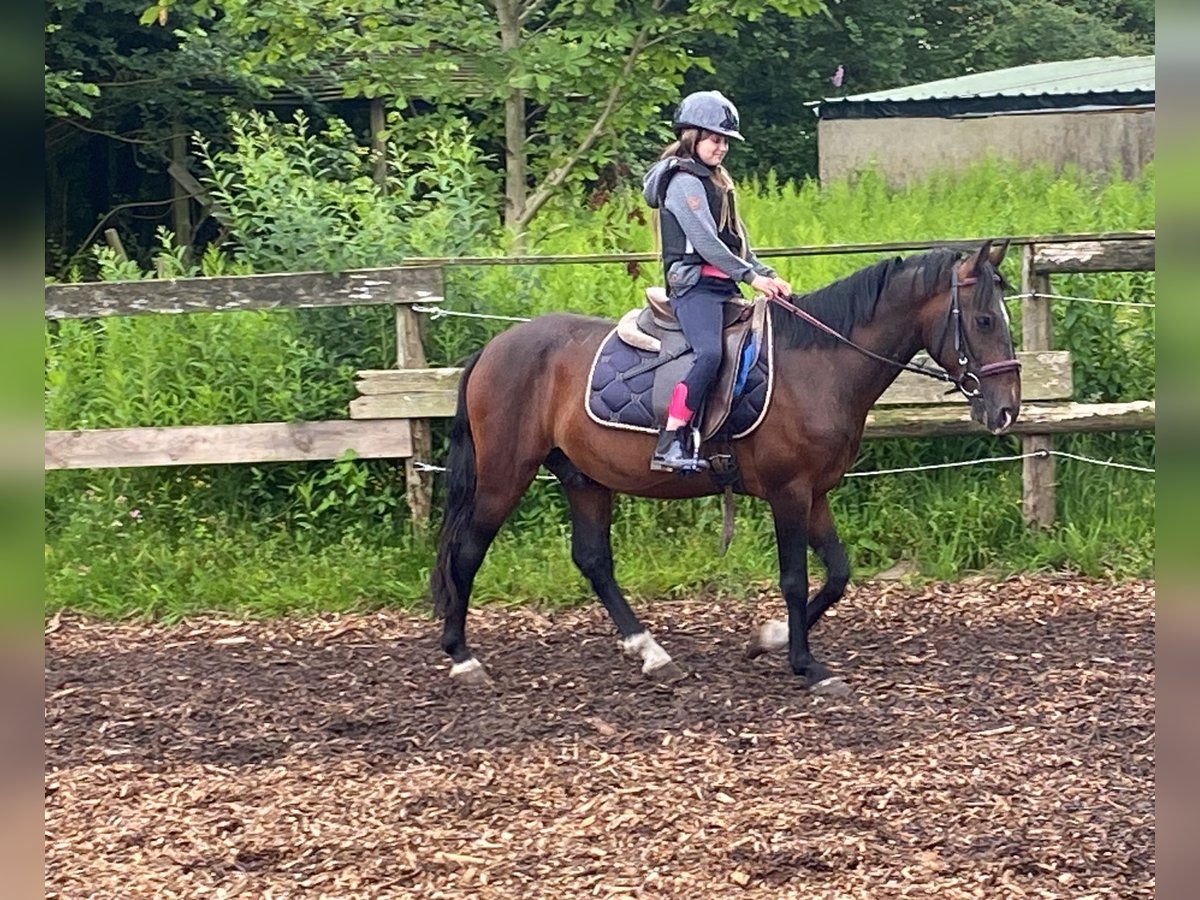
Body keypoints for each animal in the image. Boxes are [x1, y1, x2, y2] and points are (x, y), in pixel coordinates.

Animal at [427, 241, 1017, 696]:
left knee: (593, 560)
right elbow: (796, 579)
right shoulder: (789, 492)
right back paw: (463, 657)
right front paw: (807, 665)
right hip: (505, 475)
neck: (819, 362)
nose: (1006, 409)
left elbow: (838, 574)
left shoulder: (817, 493)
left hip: (582, 476)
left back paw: (651, 652)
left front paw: (769, 639)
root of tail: (494, 348)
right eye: (984, 319)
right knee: (468, 551)